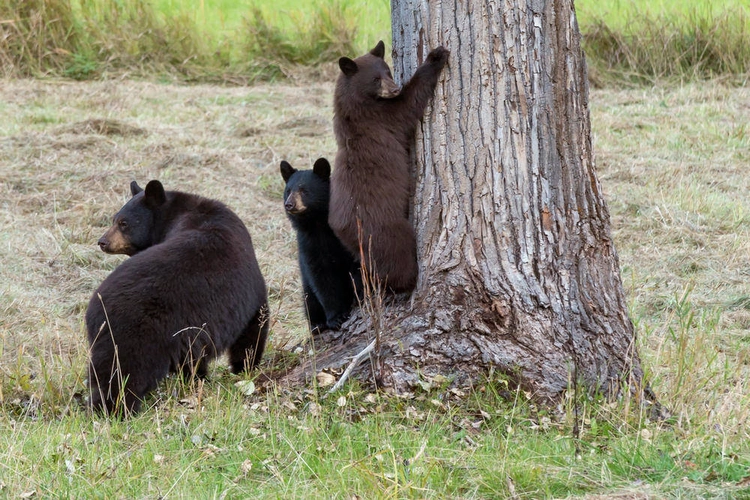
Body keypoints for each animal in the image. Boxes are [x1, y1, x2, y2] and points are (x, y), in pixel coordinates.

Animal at [86, 180, 268, 414]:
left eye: (123, 223)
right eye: (115, 220)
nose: (102, 241)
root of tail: (96, 310)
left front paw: (205, 377)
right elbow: (253, 328)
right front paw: (244, 367)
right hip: (138, 335)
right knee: (122, 374)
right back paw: (117, 408)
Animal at [284, 158, 362, 334]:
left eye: (304, 190)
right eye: (288, 190)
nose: (289, 204)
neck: (318, 223)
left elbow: (357, 267)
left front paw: (361, 296)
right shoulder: (309, 244)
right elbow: (322, 278)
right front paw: (336, 318)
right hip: (306, 288)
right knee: (309, 300)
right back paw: (317, 324)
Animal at [330, 41, 450, 294]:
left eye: (388, 72)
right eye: (375, 79)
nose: (394, 89)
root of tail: (345, 231)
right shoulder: (381, 117)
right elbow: (408, 106)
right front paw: (436, 57)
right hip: (386, 229)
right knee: (398, 256)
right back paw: (407, 282)